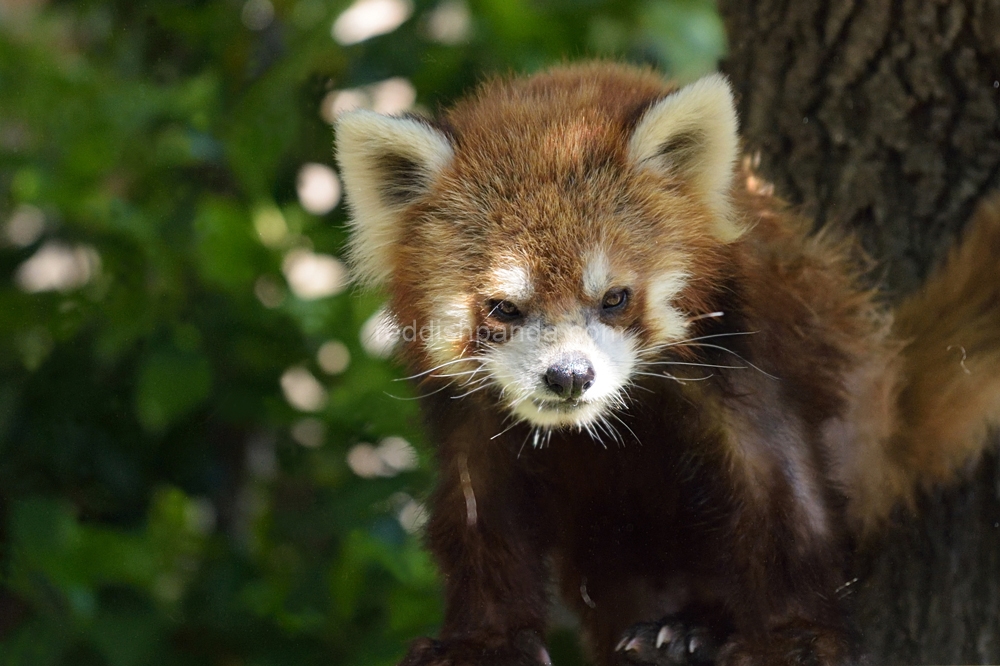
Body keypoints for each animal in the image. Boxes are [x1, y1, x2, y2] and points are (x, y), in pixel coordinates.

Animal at [334, 62, 1000, 664]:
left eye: (614, 298)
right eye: (503, 307)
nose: (569, 377)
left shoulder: (742, 349)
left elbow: (777, 489)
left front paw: (796, 636)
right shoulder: (472, 415)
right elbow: (481, 510)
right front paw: (482, 640)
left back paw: (693, 628)